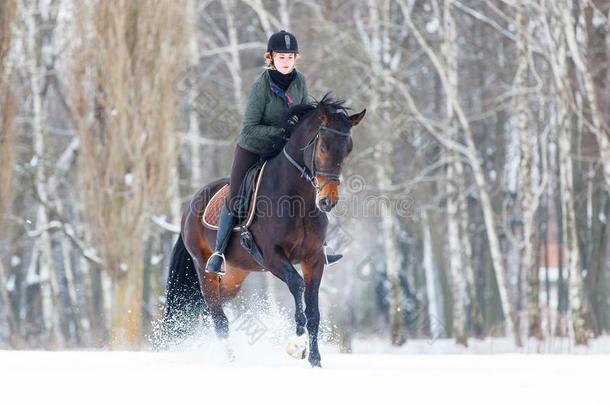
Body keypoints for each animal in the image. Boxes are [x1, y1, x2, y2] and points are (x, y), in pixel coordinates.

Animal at [159, 94, 364, 366]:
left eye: (348, 149)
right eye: (323, 147)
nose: (327, 201)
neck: (297, 200)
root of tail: (191, 204)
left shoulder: (314, 259)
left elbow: (314, 312)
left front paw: (315, 361)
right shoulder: (272, 257)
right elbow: (297, 286)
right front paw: (297, 345)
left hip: (235, 273)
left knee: (210, 308)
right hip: (205, 269)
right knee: (219, 319)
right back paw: (231, 362)